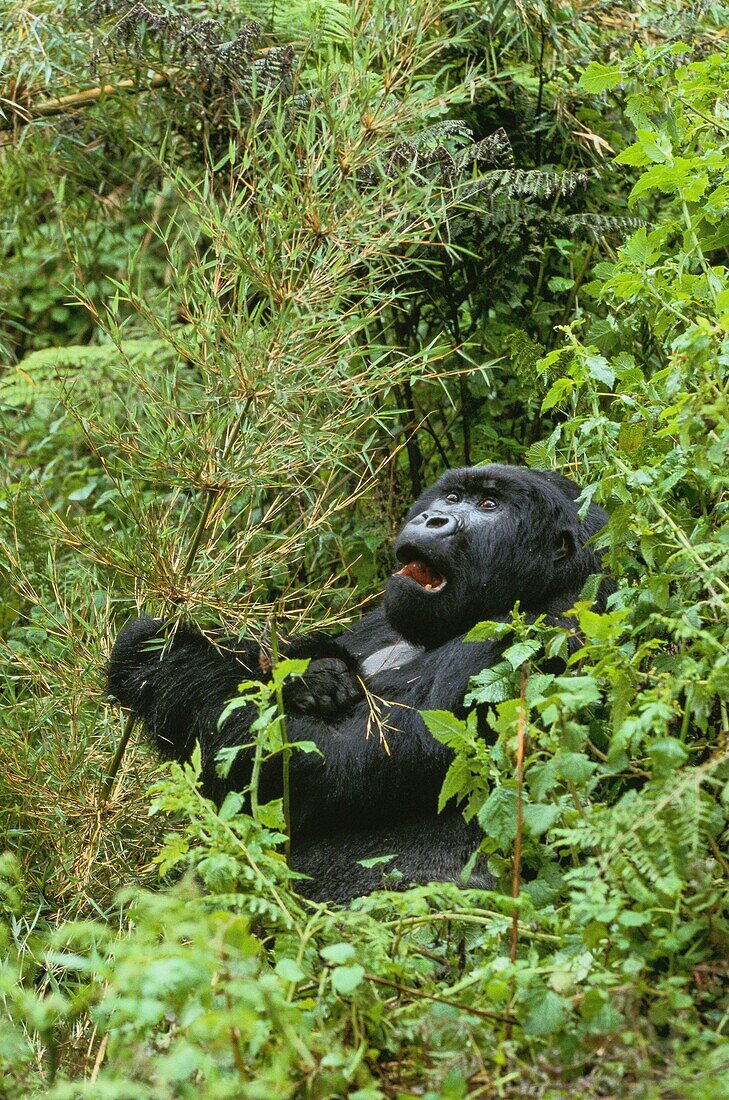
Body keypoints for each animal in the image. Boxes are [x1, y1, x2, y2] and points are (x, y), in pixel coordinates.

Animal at [107, 464, 611, 902]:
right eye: (452, 497)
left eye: (489, 505)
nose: (433, 518)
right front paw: (318, 671)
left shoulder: (525, 641)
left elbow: (320, 759)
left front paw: (155, 654)